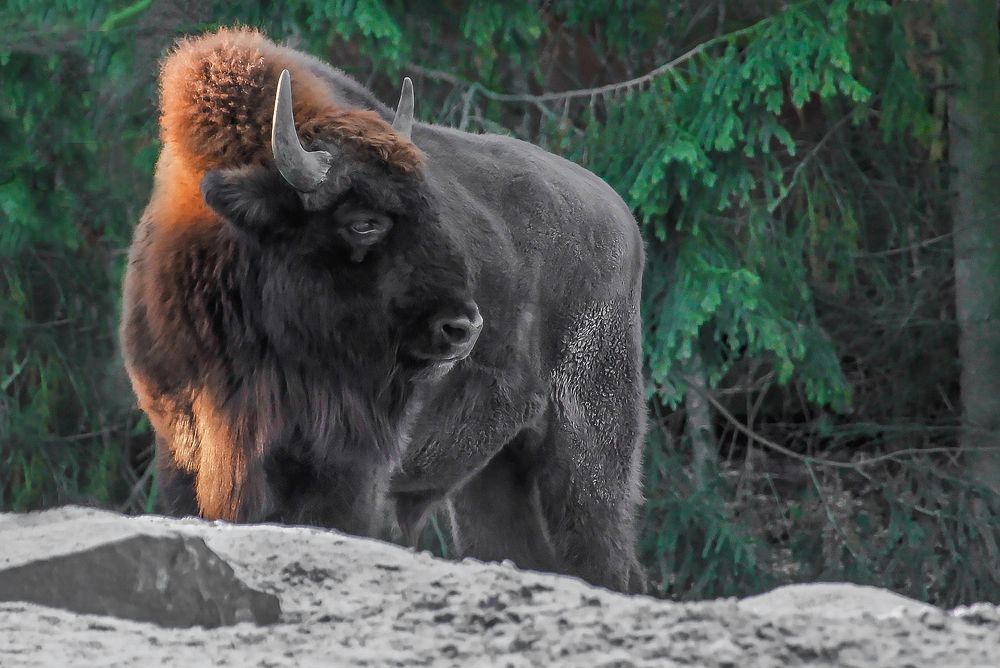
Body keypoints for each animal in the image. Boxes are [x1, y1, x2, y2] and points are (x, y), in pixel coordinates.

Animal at [121, 28, 647, 593]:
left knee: (602, 553)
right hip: (494, 472)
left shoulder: (350, 469)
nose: (463, 327)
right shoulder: (186, 445)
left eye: (434, 208)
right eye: (364, 222)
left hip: (588, 452)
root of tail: (622, 218)